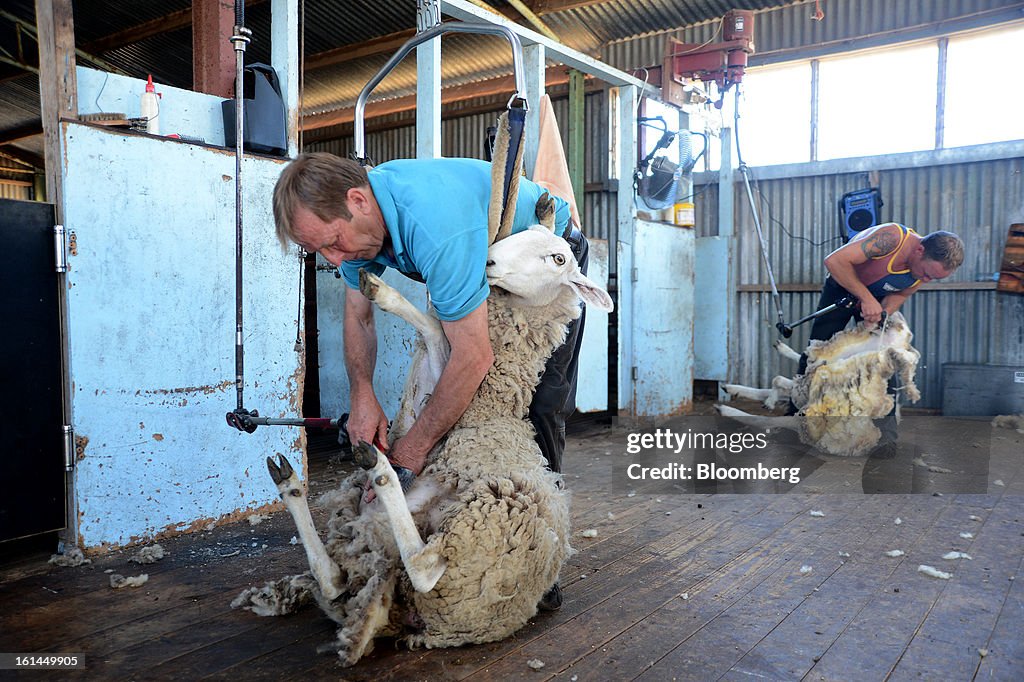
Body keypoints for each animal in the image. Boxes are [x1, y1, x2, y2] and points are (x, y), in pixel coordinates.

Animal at [234, 223, 606, 663]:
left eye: (559, 258)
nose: (488, 261)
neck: (492, 410)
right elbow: (431, 329)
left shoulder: (453, 379)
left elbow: (432, 330)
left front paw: (382, 292)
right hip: (372, 542)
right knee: (336, 580)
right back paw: (291, 483)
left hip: (475, 531)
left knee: (421, 567)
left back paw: (379, 470)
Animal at [716, 313, 925, 456]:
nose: (886, 313)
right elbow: (779, 381)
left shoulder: (805, 401)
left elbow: (772, 396)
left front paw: (762, 405)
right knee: (796, 367)